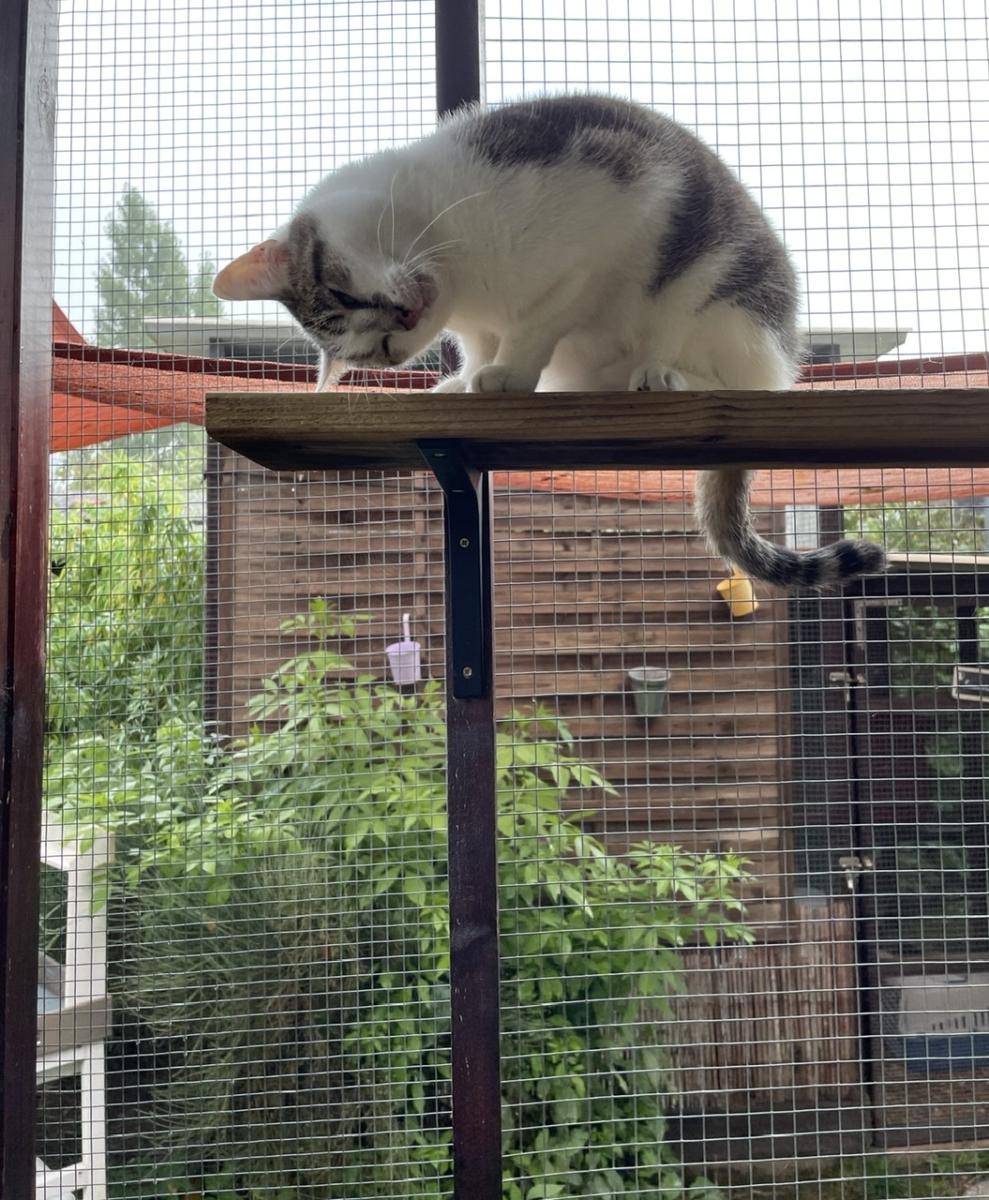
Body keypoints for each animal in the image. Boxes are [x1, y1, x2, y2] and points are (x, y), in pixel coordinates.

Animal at [214, 93, 884, 588]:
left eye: (342, 293)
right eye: (376, 351)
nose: (400, 323)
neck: (465, 272)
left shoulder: (616, 214)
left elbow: (542, 315)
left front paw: (507, 373)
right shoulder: (475, 320)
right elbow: (482, 342)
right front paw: (463, 380)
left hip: (719, 291)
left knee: (732, 373)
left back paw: (661, 374)